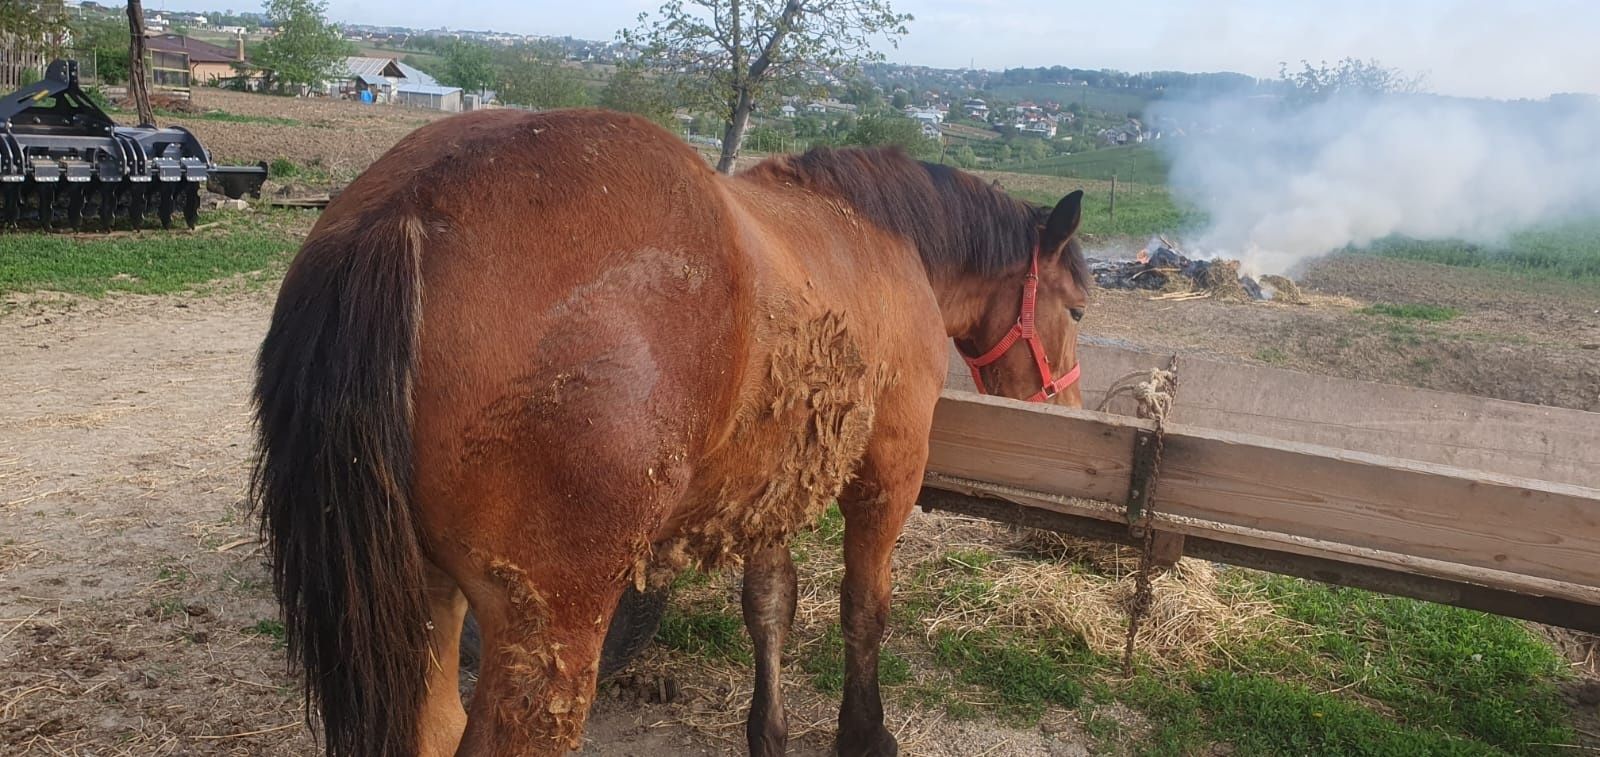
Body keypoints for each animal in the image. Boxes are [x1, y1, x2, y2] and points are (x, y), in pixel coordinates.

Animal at [252, 106, 1088, 755]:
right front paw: (864, 732)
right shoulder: (889, 469)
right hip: (547, 633)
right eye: (1077, 306)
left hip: (428, 599)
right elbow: (864, 604)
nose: (1069, 404)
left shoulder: (770, 483)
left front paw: (768, 731)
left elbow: (771, 605)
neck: (876, 235)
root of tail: (412, 205)